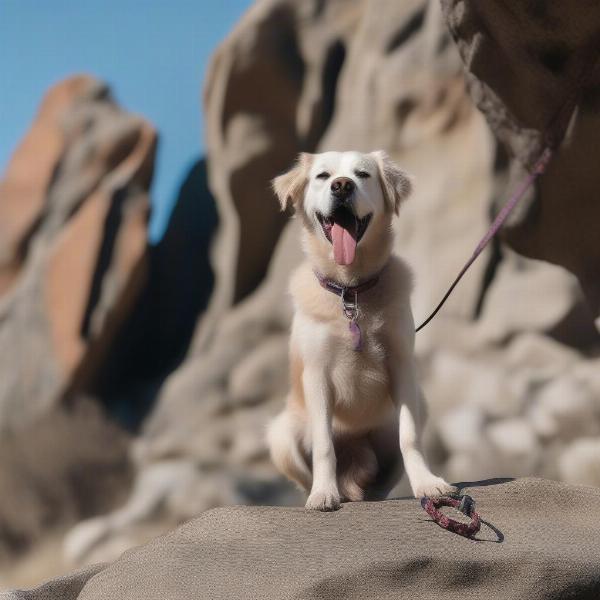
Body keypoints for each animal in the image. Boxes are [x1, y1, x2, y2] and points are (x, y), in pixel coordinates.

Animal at [268, 151, 454, 510]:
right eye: (323, 176)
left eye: (363, 174)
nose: (342, 185)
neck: (350, 290)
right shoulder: (316, 374)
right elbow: (324, 446)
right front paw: (324, 493)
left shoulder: (401, 364)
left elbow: (410, 437)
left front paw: (427, 484)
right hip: (280, 435)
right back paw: (330, 489)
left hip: (412, 411)